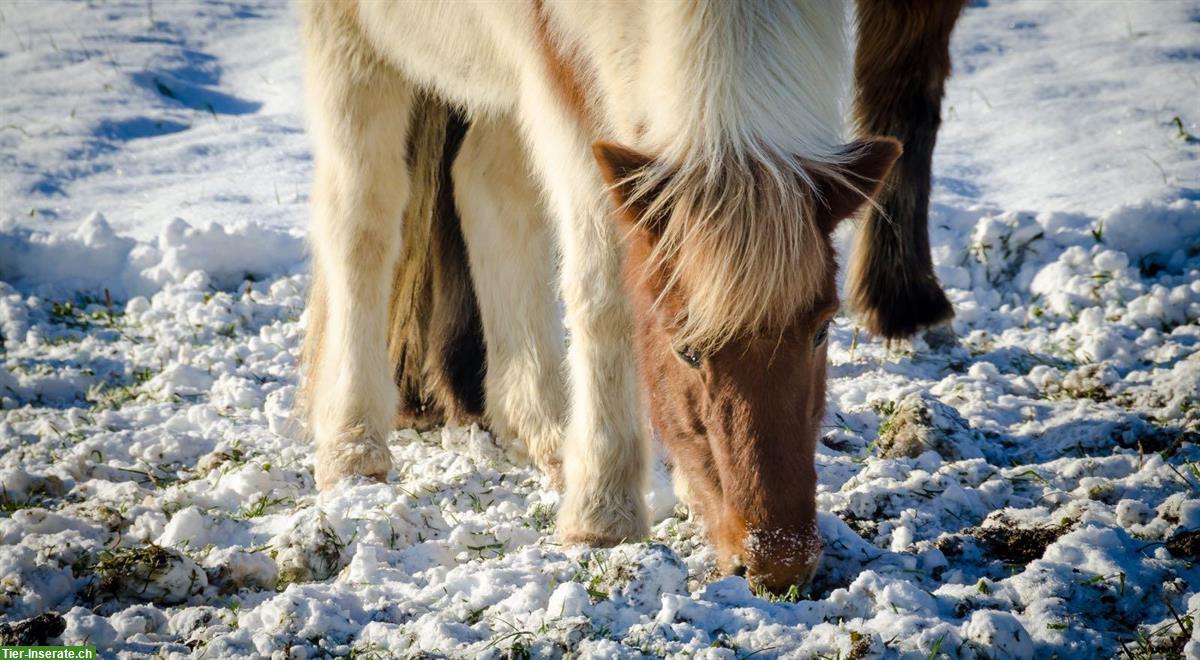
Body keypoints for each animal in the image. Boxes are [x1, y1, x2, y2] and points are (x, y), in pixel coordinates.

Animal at [297, 0, 964, 590]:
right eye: (685, 349)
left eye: (823, 328)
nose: (779, 563)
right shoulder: (565, 87)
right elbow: (604, 294)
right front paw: (603, 514)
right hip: (354, 44)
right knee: (362, 214)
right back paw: (353, 446)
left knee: (487, 185)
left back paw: (543, 428)